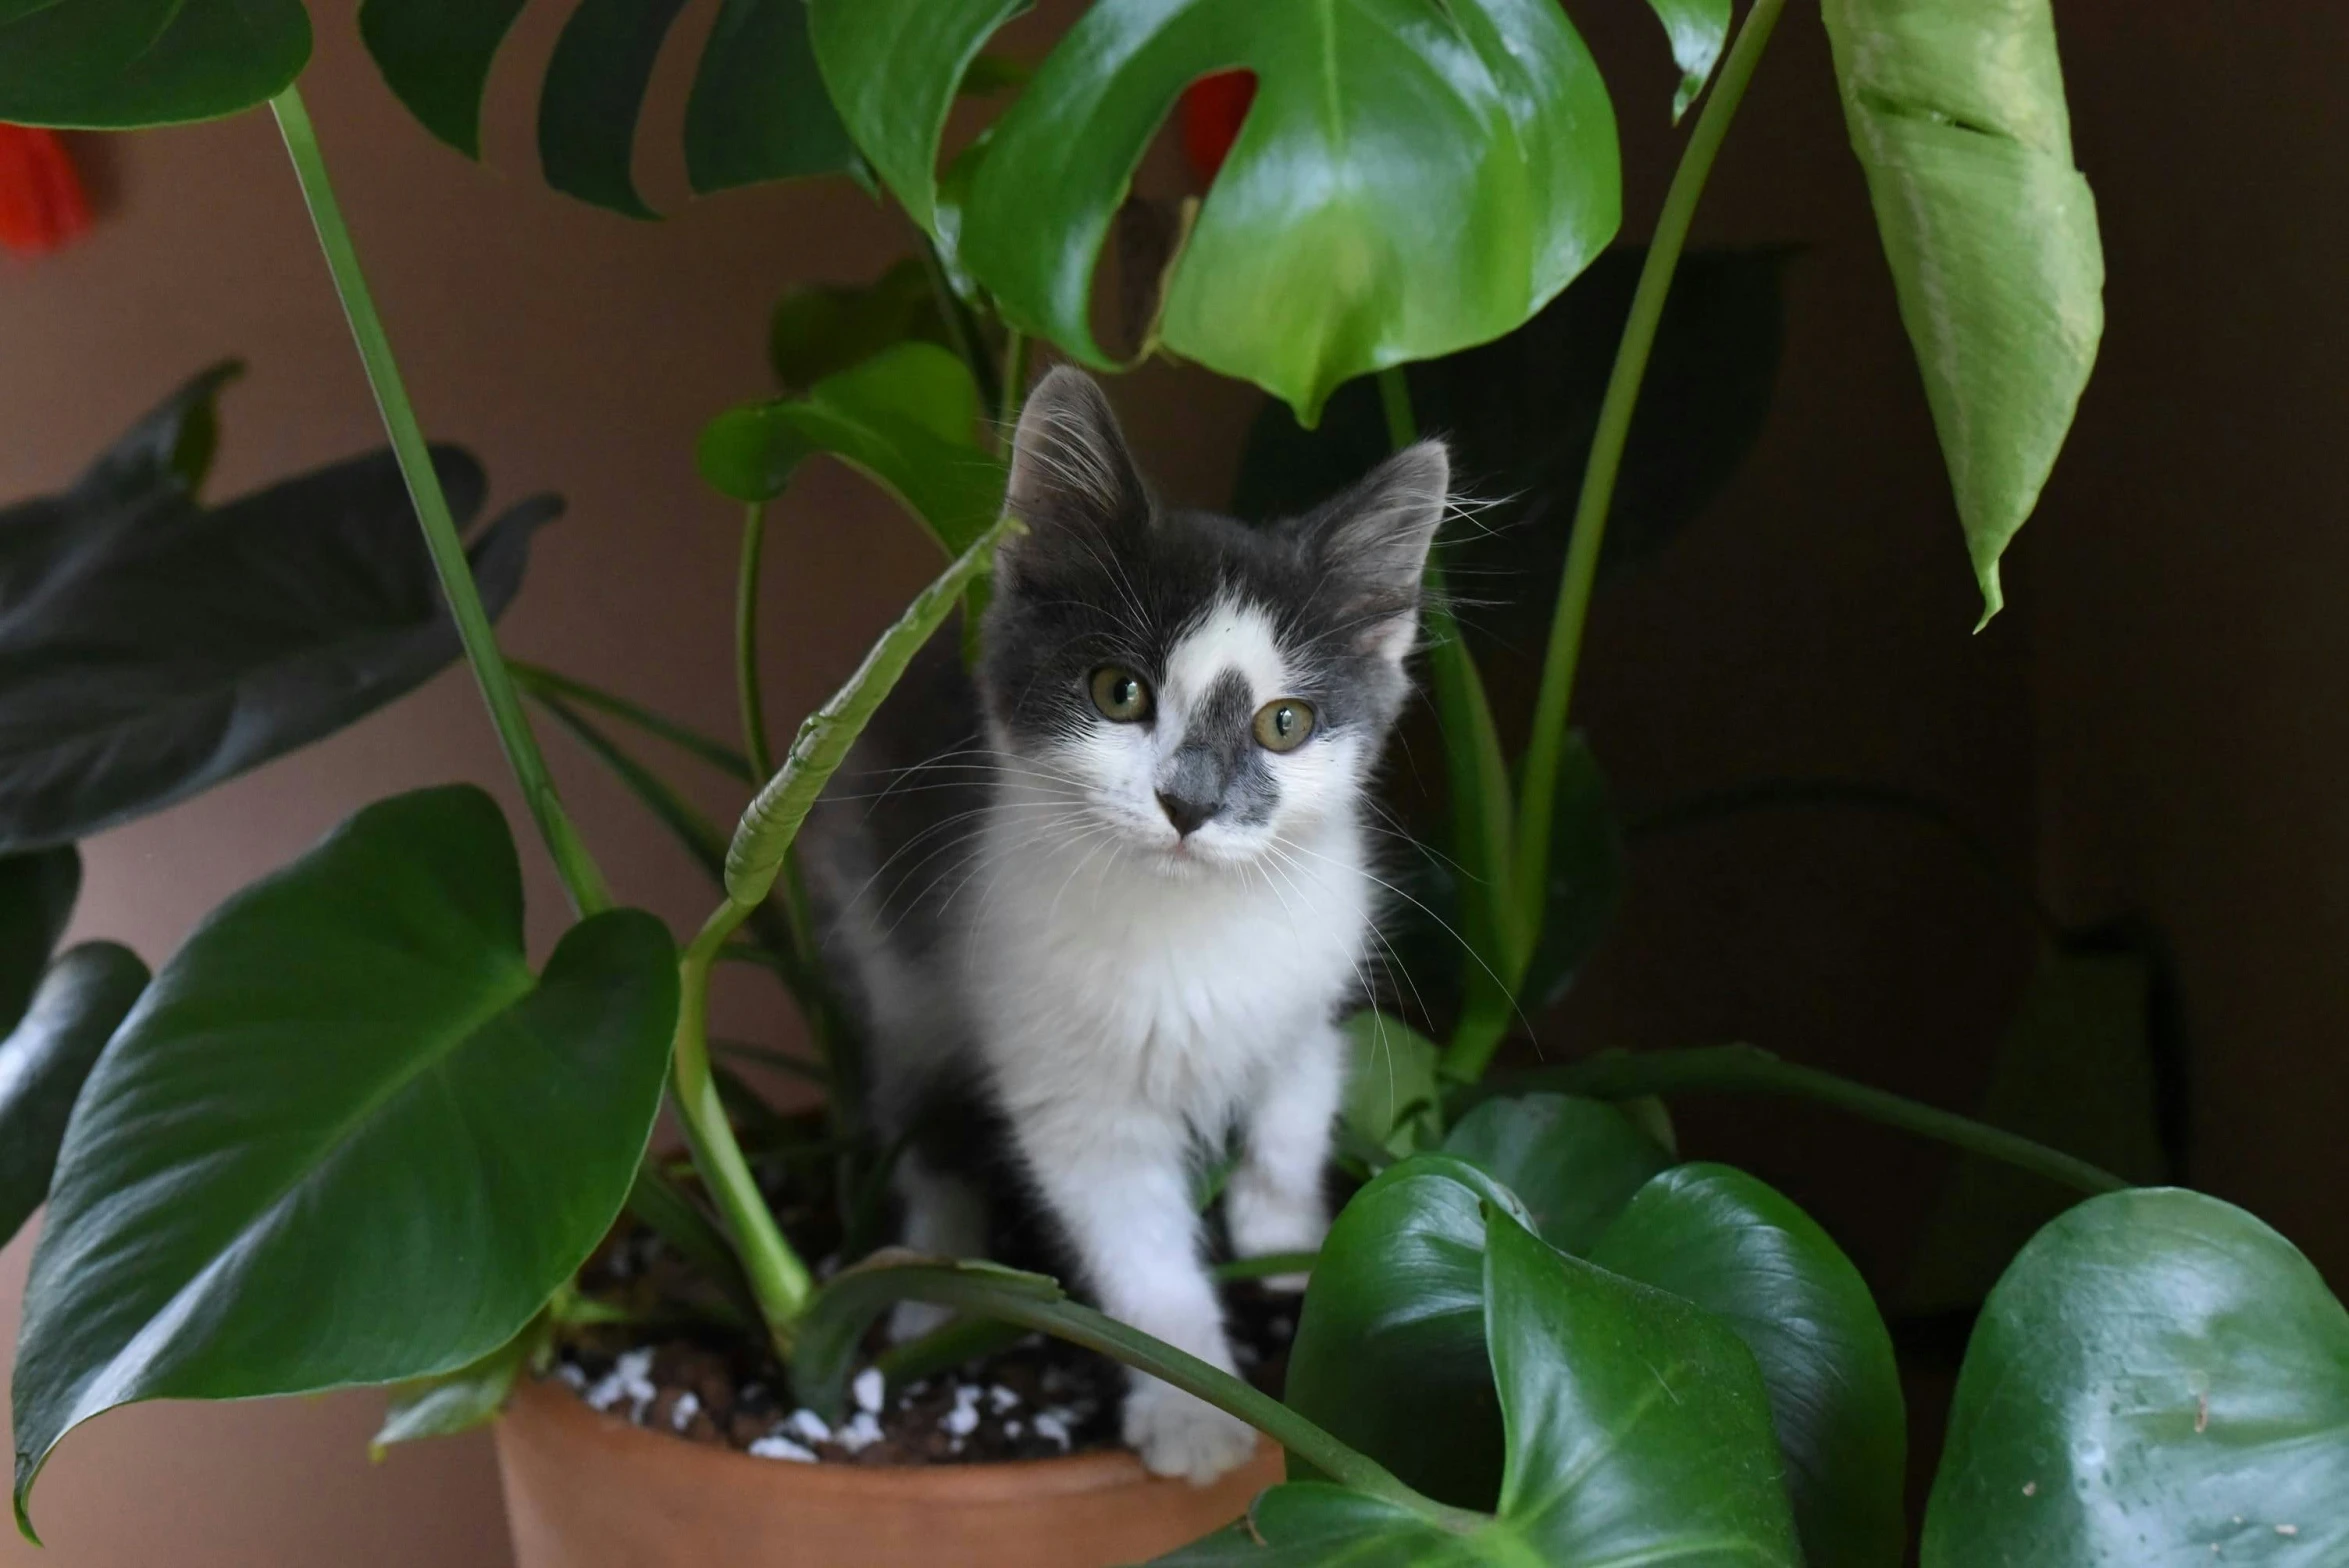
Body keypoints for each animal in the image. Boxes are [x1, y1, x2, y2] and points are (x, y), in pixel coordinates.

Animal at [808, 363, 1437, 1483]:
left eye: (1285, 723)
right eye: (1118, 692)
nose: (1189, 803)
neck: (1192, 922)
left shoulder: (1310, 994)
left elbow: (1293, 1112)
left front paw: (1287, 1243)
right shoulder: (1069, 1090)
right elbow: (1142, 1260)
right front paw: (1196, 1408)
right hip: (894, 954)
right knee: (924, 1123)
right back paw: (929, 1286)